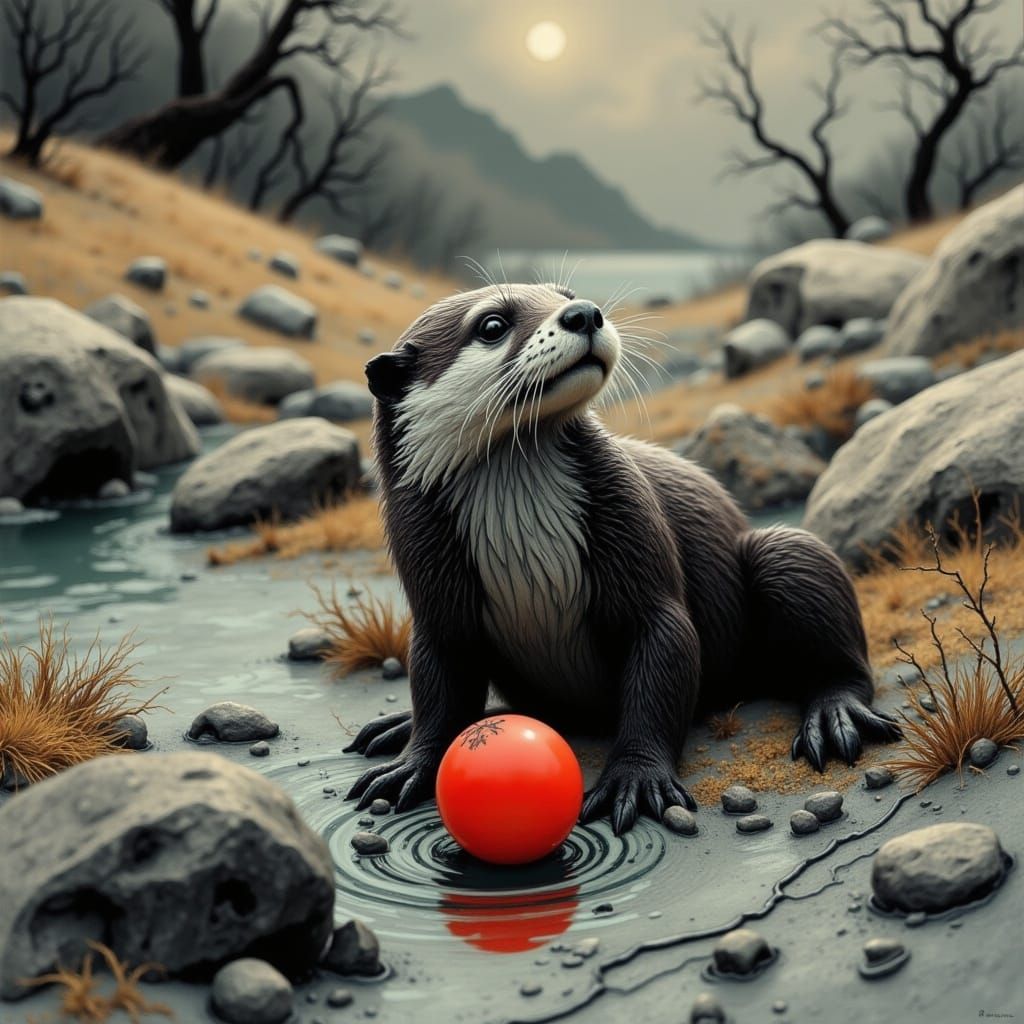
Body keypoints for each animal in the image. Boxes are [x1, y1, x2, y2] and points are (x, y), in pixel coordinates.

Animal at [345, 283, 900, 834]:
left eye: (565, 293)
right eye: (492, 325)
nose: (584, 313)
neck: (523, 541)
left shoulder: (635, 539)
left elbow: (660, 668)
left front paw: (634, 777)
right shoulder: (431, 589)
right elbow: (437, 688)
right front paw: (411, 764)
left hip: (785, 556)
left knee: (843, 656)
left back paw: (834, 715)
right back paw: (396, 726)